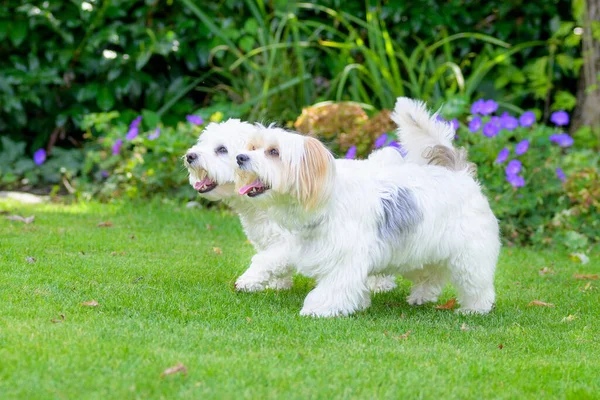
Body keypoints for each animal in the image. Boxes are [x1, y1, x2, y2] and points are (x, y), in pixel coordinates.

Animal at [234, 98, 502, 318]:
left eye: (274, 152)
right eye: (253, 148)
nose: (240, 157)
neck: (326, 197)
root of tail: (460, 173)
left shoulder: (345, 258)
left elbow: (333, 287)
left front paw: (318, 308)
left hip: (469, 256)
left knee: (477, 285)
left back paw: (474, 309)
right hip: (421, 249)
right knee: (431, 274)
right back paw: (421, 296)